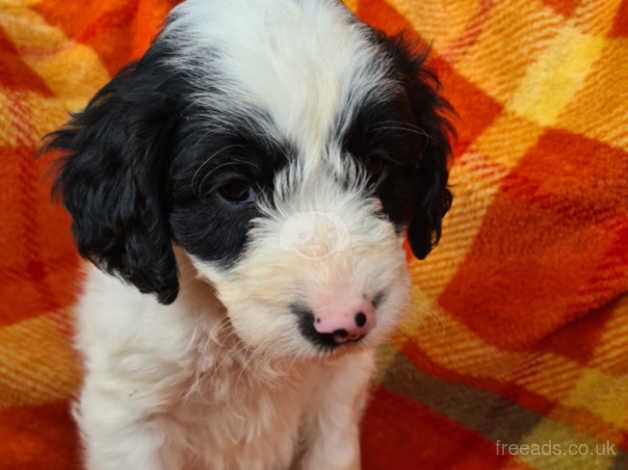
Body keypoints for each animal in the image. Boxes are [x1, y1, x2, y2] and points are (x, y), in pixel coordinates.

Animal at [46, 0, 454, 470]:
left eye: (377, 166)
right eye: (235, 189)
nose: (345, 322)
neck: (240, 343)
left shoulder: (336, 396)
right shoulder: (131, 412)